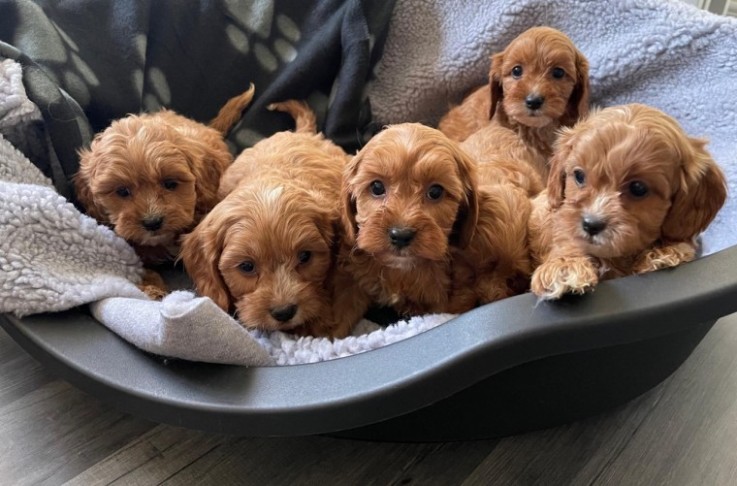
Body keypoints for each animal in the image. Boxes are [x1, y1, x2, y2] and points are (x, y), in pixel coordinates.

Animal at [528, 104, 728, 298]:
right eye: (579, 175)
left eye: (638, 188)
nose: (591, 225)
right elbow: (566, 241)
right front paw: (563, 267)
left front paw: (664, 252)